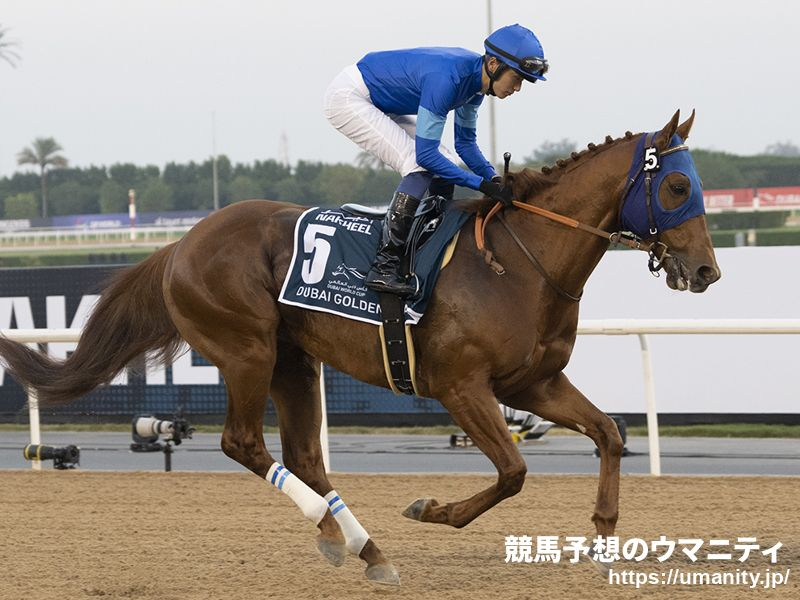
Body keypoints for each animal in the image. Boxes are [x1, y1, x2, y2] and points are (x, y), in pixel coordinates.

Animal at [0, 109, 720, 584]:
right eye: (678, 187)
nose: (707, 271)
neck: (519, 264)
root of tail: (181, 243)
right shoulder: (461, 387)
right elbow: (513, 472)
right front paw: (432, 509)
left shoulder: (533, 383)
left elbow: (607, 432)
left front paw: (603, 532)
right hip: (247, 351)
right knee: (244, 443)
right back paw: (336, 528)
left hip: (294, 360)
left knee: (303, 456)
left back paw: (362, 546)